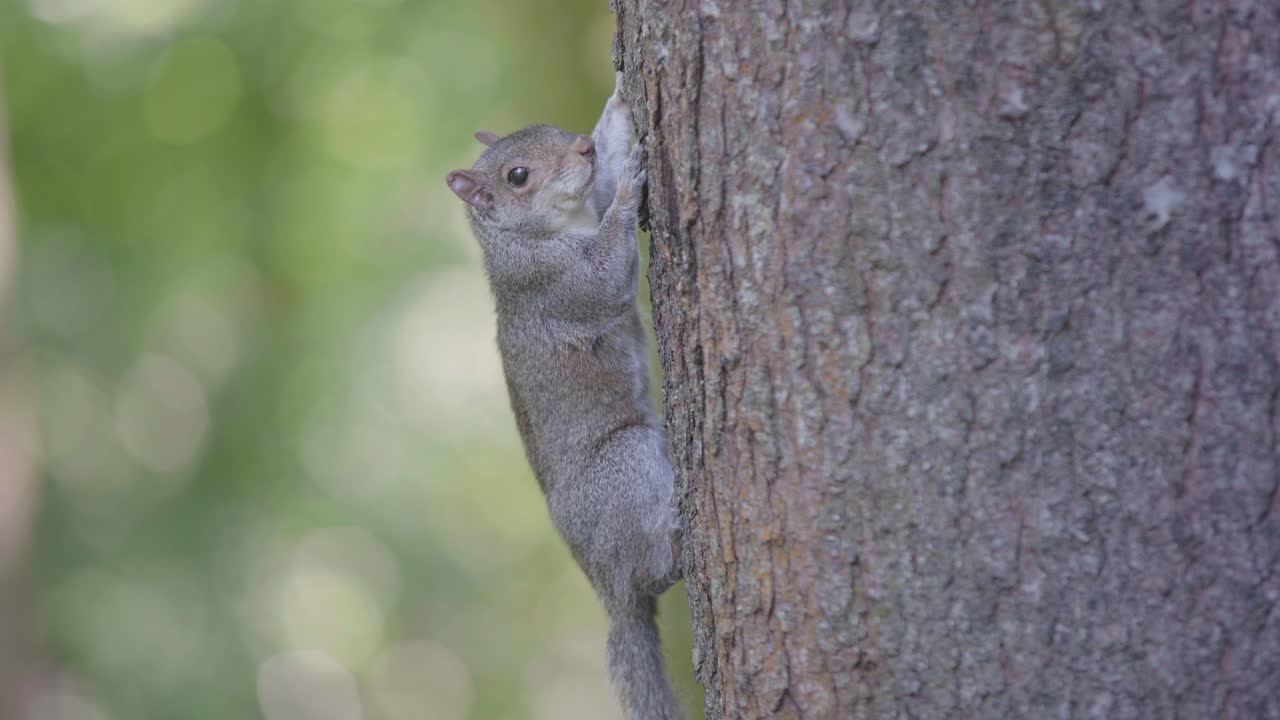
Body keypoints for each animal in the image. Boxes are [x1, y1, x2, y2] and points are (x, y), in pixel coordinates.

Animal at [445, 74, 683, 720]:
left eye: (553, 129)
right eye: (517, 176)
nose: (582, 147)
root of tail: (605, 585)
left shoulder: (586, 200)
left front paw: (619, 104)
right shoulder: (556, 283)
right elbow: (603, 276)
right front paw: (629, 188)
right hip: (628, 464)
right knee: (649, 572)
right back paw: (673, 548)